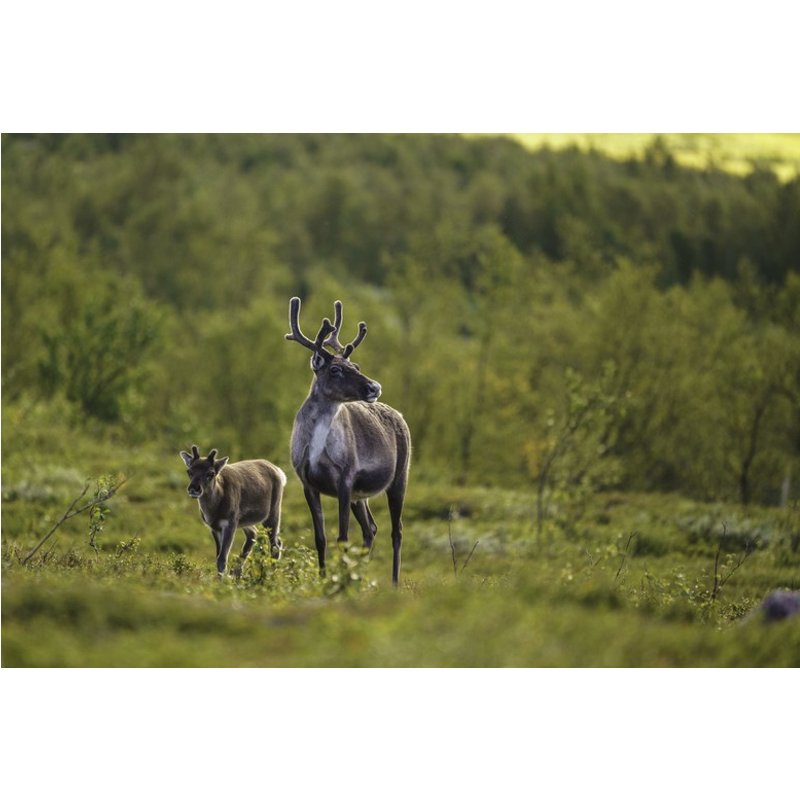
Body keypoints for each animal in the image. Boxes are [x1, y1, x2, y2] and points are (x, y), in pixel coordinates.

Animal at [179, 445, 286, 575]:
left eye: (211, 473)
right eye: (189, 471)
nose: (194, 488)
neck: (214, 512)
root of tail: (279, 471)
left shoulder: (230, 522)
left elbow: (222, 557)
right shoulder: (214, 527)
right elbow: (218, 556)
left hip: (273, 511)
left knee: (275, 544)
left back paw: (270, 573)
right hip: (245, 521)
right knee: (254, 534)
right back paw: (237, 573)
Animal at [285, 297, 411, 586]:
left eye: (357, 366)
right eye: (335, 369)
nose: (374, 387)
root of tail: (400, 416)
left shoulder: (345, 479)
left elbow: (342, 538)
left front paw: (336, 582)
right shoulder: (308, 483)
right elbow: (320, 538)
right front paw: (324, 579)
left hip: (399, 477)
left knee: (397, 530)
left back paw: (394, 583)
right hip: (360, 496)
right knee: (371, 528)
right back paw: (358, 578)